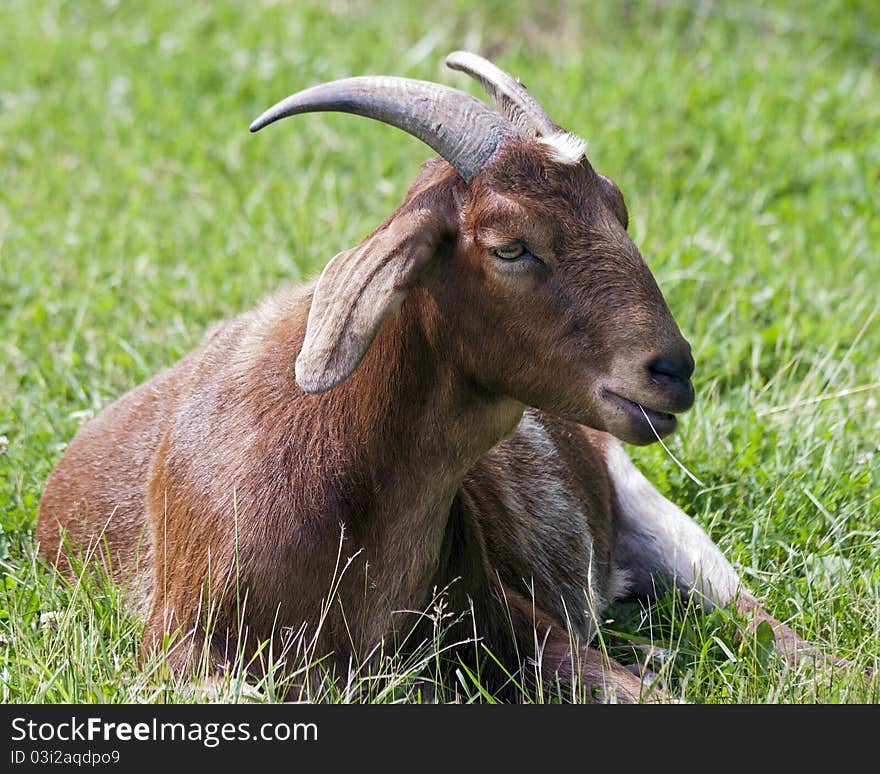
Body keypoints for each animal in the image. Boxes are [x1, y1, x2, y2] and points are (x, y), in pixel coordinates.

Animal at [36, 51, 832, 700]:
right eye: (511, 246)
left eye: (618, 206)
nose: (671, 370)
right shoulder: (183, 652)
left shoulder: (510, 617)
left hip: (661, 521)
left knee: (759, 622)